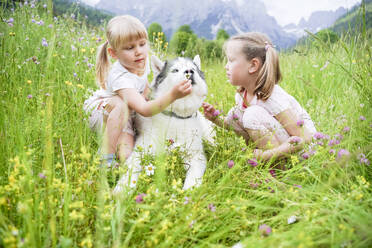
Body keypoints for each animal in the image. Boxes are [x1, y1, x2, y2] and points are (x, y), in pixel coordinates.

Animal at [113, 54, 214, 194]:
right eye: (175, 70)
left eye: (193, 69)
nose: (189, 72)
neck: (176, 117)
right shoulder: (140, 151)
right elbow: (131, 169)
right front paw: (122, 189)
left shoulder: (196, 156)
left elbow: (194, 174)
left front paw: (189, 191)